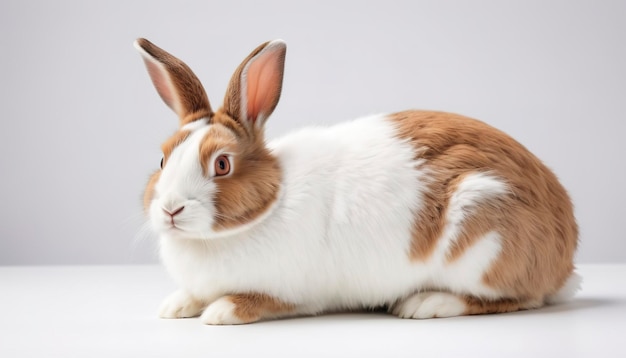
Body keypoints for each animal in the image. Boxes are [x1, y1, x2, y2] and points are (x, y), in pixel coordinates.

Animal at [134, 37, 576, 324]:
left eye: (222, 165)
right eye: (162, 158)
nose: (170, 209)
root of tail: (564, 254)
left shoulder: (294, 293)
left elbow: (255, 301)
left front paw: (221, 310)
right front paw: (175, 306)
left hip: (484, 233)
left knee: (520, 299)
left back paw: (426, 304)